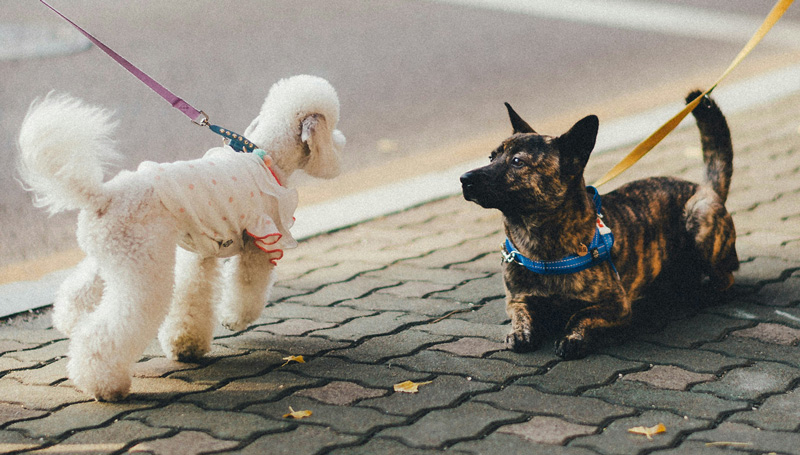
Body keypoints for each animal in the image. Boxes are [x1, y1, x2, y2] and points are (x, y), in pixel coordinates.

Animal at [460, 91, 740, 360]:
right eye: (491, 157)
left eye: (517, 162)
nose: (464, 178)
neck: (539, 242)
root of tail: (705, 188)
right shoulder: (517, 299)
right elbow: (521, 313)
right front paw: (519, 332)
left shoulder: (617, 304)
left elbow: (581, 314)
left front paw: (572, 337)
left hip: (699, 218)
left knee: (725, 278)